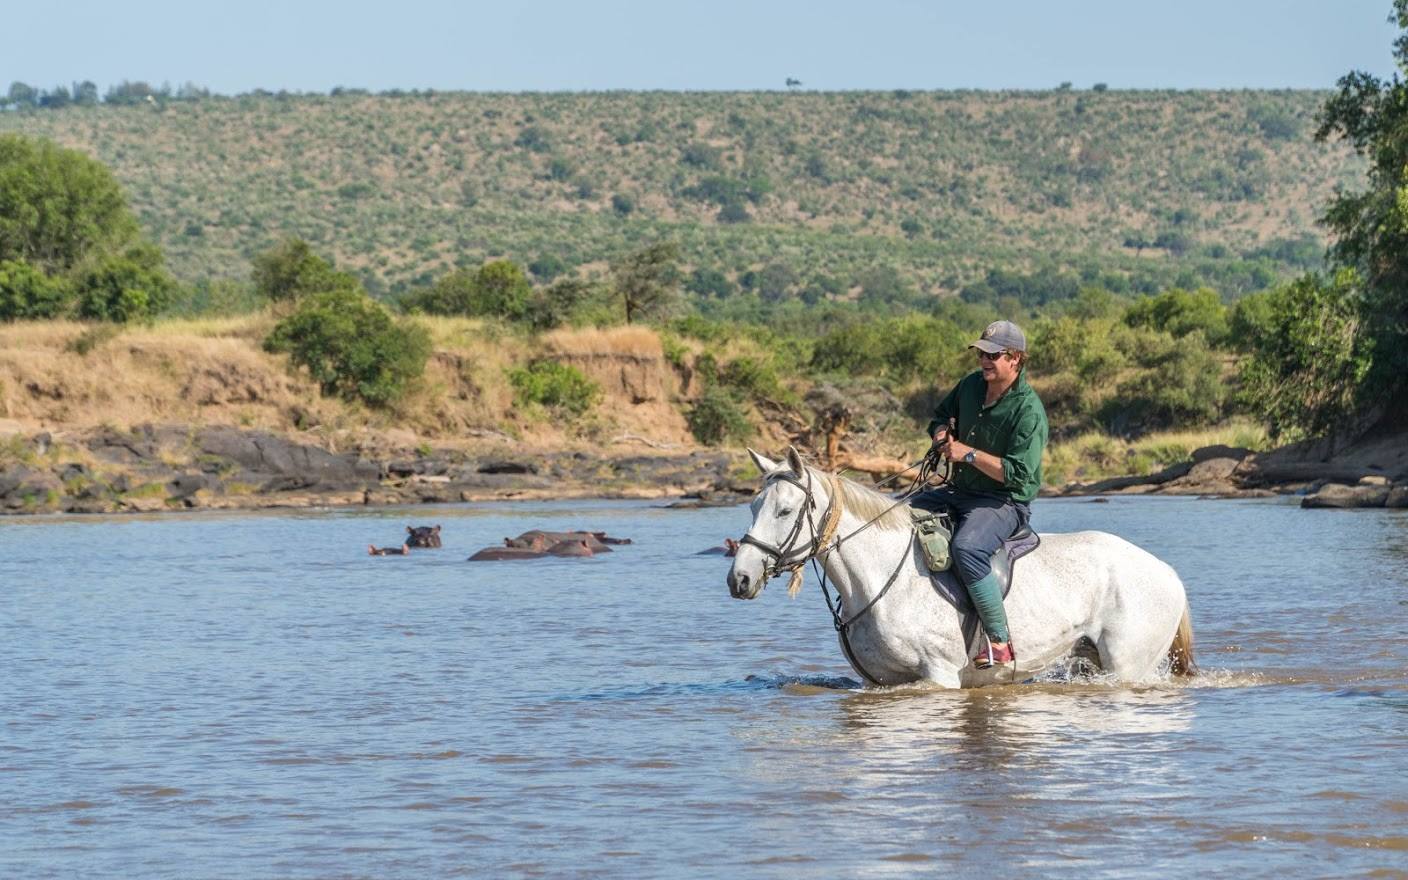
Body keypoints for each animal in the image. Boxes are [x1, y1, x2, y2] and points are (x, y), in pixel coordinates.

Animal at [726, 448, 1195, 688]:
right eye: (752, 505)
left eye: (785, 510)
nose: (739, 578)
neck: (880, 580)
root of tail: (1167, 572)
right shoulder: (882, 682)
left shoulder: (939, 676)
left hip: (1128, 666)